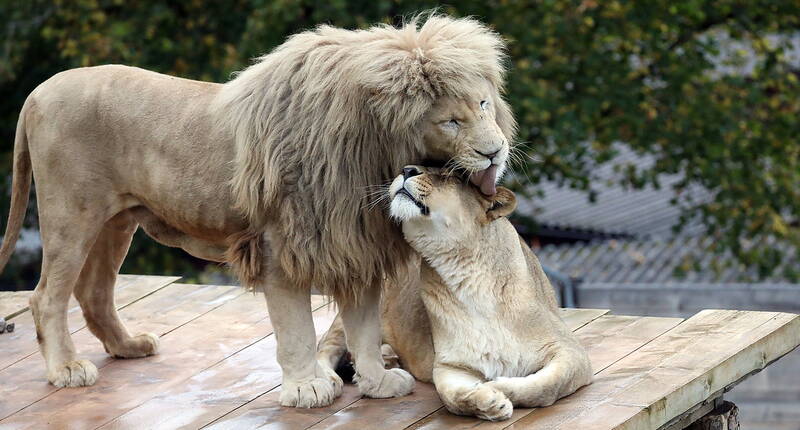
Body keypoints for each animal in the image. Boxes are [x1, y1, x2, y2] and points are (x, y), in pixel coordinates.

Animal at [0, 15, 512, 408]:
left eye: (484, 103)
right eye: (451, 120)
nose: (495, 152)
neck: (370, 155)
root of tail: (37, 92)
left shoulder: (354, 245)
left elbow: (364, 327)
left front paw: (377, 382)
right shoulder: (281, 245)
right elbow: (296, 329)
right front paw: (307, 389)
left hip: (116, 221)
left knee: (94, 292)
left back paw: (128, 347)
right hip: (72, 214)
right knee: (47, 296)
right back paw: (67, 369)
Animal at [316, 167, 592, 420]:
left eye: (449, 177)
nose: (407, 169)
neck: (464, 270)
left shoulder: (571, 352)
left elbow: (546, 385)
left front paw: (498, 386)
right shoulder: (450, 364)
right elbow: (452, 396)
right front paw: (488, 400)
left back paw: (387, 358)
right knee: (325, 347)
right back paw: (326, 381)